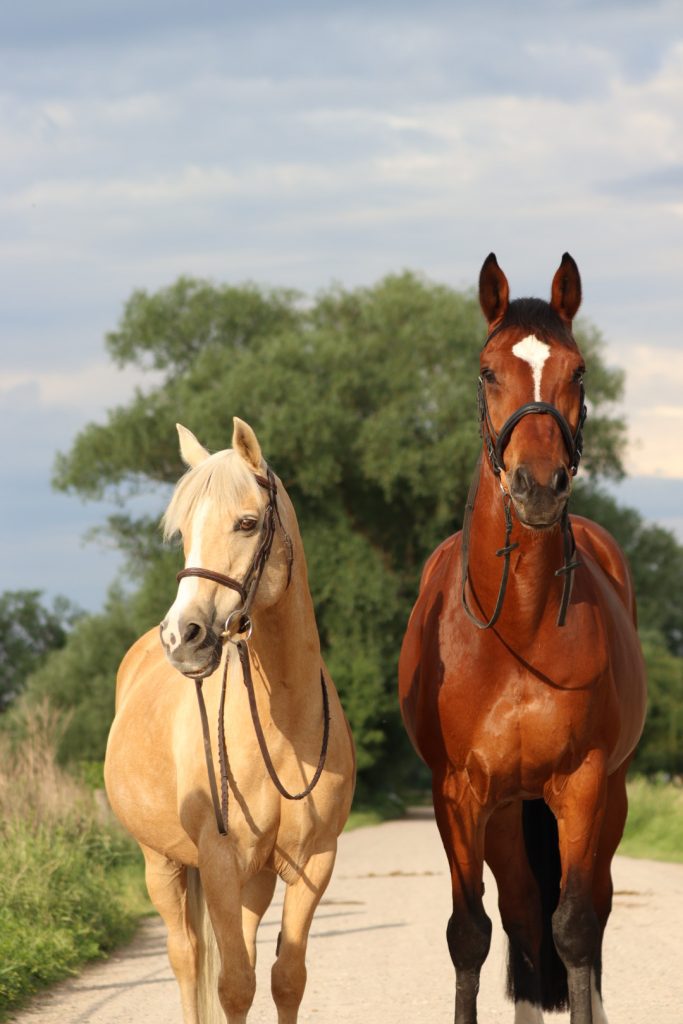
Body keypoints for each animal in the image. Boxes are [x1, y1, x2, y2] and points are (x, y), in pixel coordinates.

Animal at [105, 417, 356, 1024]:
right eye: (183, 532)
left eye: (246, 522)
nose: (182, 636)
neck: (284, 721)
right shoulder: (218, 863)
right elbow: (234, 984)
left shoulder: (313, 863)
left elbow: (286, 979)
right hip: (162, 865)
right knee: (188, 957)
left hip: (255, 880)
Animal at [398, 254, 647, 1024]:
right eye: (487, 371)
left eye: (579, 370)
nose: (538, 486)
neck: (519, 629)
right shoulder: (459, 795)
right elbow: (472, 933)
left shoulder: (583, 784)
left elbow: (575, 928)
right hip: (508, 812)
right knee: (519, 912)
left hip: (605, 798)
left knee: (583, 914)